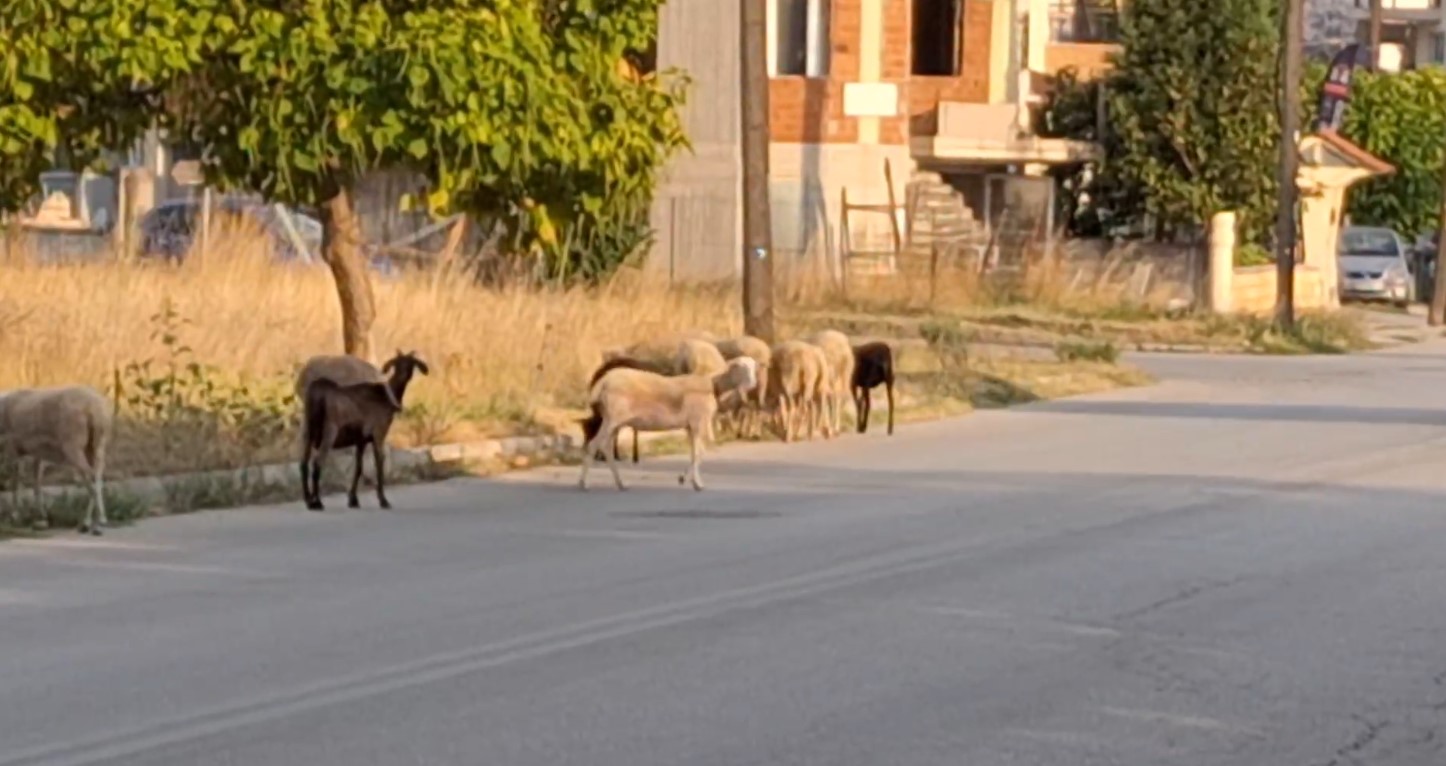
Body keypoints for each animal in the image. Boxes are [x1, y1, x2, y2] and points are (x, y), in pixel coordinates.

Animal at [0, 384, 111, 534]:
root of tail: (93, 409)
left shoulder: (13, 447)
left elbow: (16, 482)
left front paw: (14, 516)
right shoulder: (38, 453)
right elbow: (37, 483)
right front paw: (41, 518)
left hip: (73, 445)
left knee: (91, 476)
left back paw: (95, 524)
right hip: (98, 444)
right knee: (98, 475)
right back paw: (95, 521)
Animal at [296, 349, 425, 505]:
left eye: (411, 363)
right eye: (397, 363)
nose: (404, 375)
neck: (386, 395)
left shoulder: (361, 440)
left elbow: (358, 468)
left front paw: (353, 499)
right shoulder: (379, 434)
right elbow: (379, 464)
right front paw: (383, 500)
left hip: (306, 431)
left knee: (303, 463)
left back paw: (309, 500)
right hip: (329, 432)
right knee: (317, 463)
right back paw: (318, 502)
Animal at [578, 355, 763, 491]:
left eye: (753, 367)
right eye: (739, 366)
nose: (752, 384)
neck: (712, 384)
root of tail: (603, 381)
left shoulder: (690, 426)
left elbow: (694, 453)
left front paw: (686, 479)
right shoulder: (698, 422)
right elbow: (700, 453)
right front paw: (695, 483)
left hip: (613, 421)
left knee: (606, 448)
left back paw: (620, 483)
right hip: (612, 418)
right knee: (594, 445)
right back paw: (584, 483)